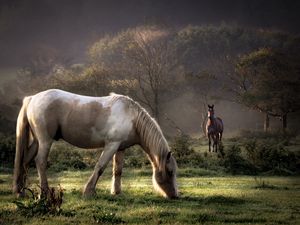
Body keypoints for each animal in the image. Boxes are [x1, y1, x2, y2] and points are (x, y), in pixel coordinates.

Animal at [12, 89, 178, 199]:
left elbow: (117, 171)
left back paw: (21, 192)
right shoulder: (111, 145)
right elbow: (100, 167)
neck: (132, 118)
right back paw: (44, 193)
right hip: (45, 140)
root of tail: (32, 98)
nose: (175, 196)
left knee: (25, 161)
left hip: (37, 141)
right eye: (170, 172)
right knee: (40, 162)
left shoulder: (120, 148)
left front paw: (116, 192)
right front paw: (88, 192)